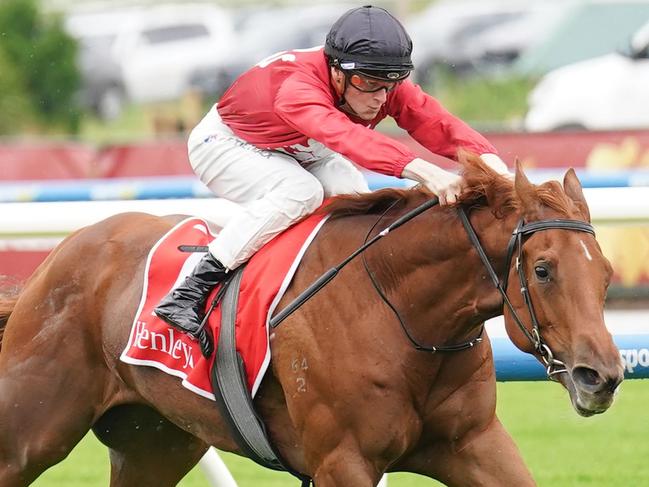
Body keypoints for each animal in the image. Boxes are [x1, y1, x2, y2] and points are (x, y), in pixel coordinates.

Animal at [0, 158, 620, 486]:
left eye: (607, 274)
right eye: (542, 269)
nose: (603, 377)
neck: (402, 314)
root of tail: (55, 258)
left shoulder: (474, 443)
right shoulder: (343, 461)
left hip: (154, 442)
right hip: (30, 431)